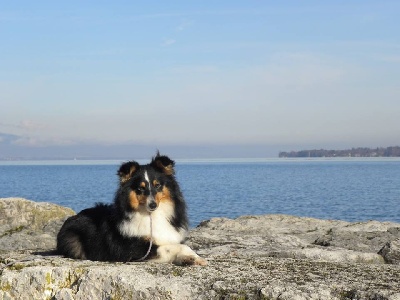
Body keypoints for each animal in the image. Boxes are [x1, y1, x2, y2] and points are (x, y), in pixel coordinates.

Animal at [56, 154, 206, 266]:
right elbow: (172, 247)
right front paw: (191, 257)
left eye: (157, 185)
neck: (152, 216)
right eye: (140, 188)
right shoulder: (133, 249)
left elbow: (183, 246)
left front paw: (192, 258)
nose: (152, 205)